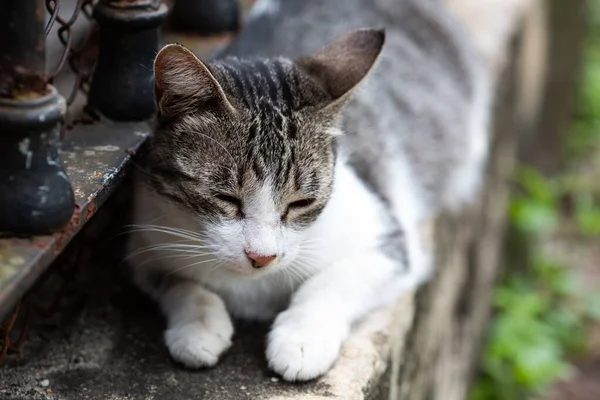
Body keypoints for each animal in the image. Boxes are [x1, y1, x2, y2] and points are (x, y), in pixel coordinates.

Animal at [127, 0, 492, 382]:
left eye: (301, 202)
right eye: (225, 198)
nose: (262, 257)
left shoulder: (389, 240)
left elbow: (332, 282)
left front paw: (301, 339)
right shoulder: (146, 239)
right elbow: (178, 283)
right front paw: (197, 327)